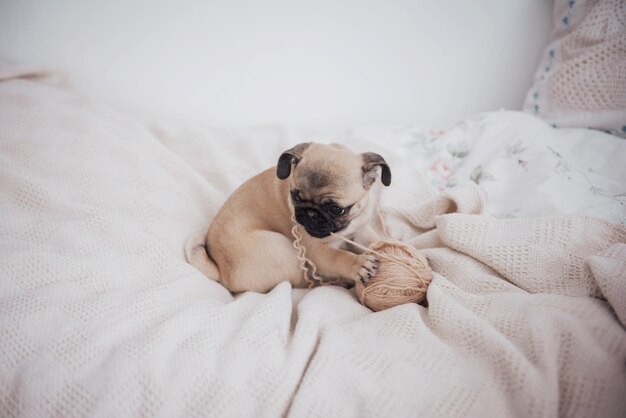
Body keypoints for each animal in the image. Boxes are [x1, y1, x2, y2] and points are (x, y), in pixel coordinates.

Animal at [185, 142, 390, 292]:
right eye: (295, 197)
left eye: (336, 209)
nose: (310, 213)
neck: (346, 227)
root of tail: (222, 272)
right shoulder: (318, 253)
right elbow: (339, 256)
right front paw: (357, 263)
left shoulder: (361, 229)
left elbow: (373, 240)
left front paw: (387, 246)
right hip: (283, 250)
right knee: (303, 284)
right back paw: (338, 282)